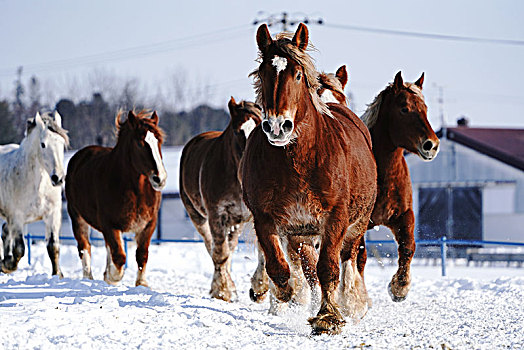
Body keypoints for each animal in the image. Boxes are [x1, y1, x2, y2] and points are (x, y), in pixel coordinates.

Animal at [0, 112, 68, 276]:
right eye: (43, 144)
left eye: (62, 143)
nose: (58, 178)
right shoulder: (17, 218)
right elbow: (20, 249)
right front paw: (8, 265)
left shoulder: (52, 215)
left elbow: (53, 246)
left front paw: (57, 275)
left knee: (4, 231)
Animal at [64, 110, 166, 286]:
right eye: (140, 143)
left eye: (158, 141)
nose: (159, 178)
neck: (136, 191)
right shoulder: (110, 225)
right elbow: (119, 257)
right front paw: (111, 276)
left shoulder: (148, 225)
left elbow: (142, 254)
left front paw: (141, 283)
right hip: (77, 217)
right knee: (84, 247)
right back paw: (88, 279)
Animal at [180, 98, 262, 300]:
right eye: (238, 130)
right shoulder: (216, 214)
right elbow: (220, 253)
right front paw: (222, 290)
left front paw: (259, 288)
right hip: (198, 217)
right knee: (213, 248)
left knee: (229, 248)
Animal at [242, 23, 376, 334]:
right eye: (264, 73)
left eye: (298, 74)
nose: (277, 126)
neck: (297, 161)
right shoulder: (267, 218)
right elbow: (279, 266)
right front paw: (286, 295)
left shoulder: (335, 218)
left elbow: (328, 268)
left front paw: (327, 317)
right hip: (302, 234)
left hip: (356, 224)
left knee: (347, 260)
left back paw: (350, 303)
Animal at [358, 71, 440, 300]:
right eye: (404, 108)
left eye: (425, 109)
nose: (431, 145)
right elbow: (360, 257)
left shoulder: (403, 215)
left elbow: (408, 247)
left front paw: (400, 287)